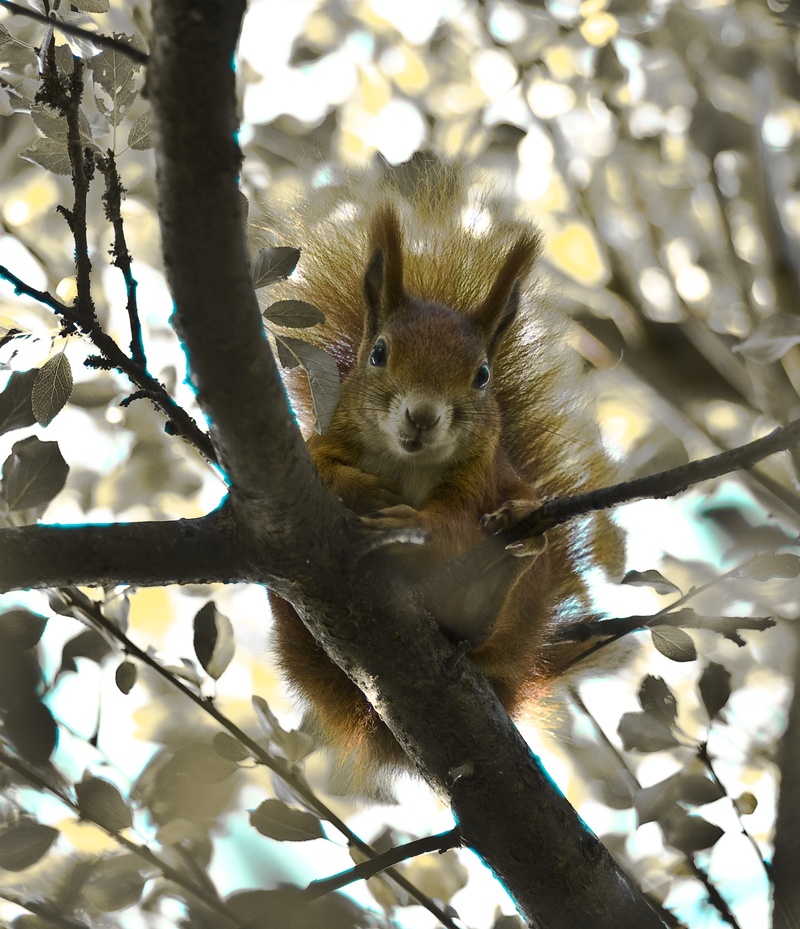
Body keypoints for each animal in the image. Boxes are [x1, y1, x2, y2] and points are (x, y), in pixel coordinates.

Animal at [264, 158, 624, 780]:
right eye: (378, 353)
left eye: (481, 376)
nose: (423, 416)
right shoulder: (322, 444)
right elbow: (325, 469)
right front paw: (365, 490)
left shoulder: (479, 476)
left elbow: (453, 526)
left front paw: (406, 524)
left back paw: (509, 557)